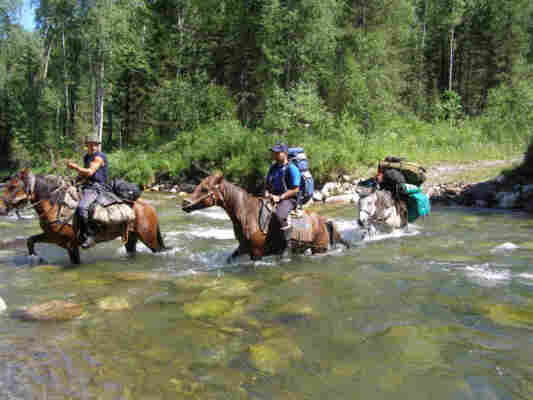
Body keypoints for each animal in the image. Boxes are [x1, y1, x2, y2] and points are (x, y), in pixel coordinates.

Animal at [0, 169, 166, 266]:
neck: (55, 205)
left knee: (158, 250)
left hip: (149, 238)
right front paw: (34, 257)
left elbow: (75, 262)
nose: (1, 208)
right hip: (131, 237)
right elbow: (30, 240)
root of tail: (149, 207)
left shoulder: (70, 244)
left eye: (13, 186)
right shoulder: (53, 237)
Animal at [181, 173, 352, 262]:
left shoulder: (257, 252)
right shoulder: (243, 248)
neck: (247, 213)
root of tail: (323, 221)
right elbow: (231, 258)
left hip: (319, 248)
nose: (185, 203)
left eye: (204, 189)